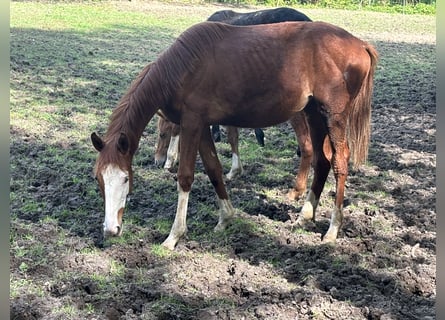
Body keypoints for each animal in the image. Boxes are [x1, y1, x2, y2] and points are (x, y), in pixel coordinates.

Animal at [91, 21, 378, 250]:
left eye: (126, 179)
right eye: (99, 180)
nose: (111, 229)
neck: (182, 68)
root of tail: (360, 44)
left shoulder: (192, 123)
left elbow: (185, 177)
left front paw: (174, 236)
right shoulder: (201, 126)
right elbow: (214, 169)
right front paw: (226, 218)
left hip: (333, 116)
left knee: (340, 162)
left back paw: (333, 229)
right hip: (313, 114)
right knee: (322, 160)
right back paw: (305, 215)